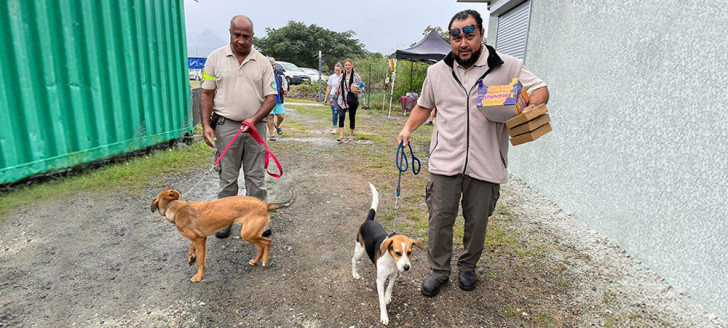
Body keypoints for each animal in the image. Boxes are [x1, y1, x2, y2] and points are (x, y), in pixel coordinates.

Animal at [149, 190, 294, 282]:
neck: (175, 207)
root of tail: (264, 204)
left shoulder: (199, 239)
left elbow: (201, 260)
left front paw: (199, 276)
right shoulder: (199, 239)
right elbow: (194, 249)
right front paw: (192, 257)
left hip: (248, 234)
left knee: (267, 242)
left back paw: (264, 260)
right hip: (250, 234)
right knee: (261, 247)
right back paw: (255, 261)